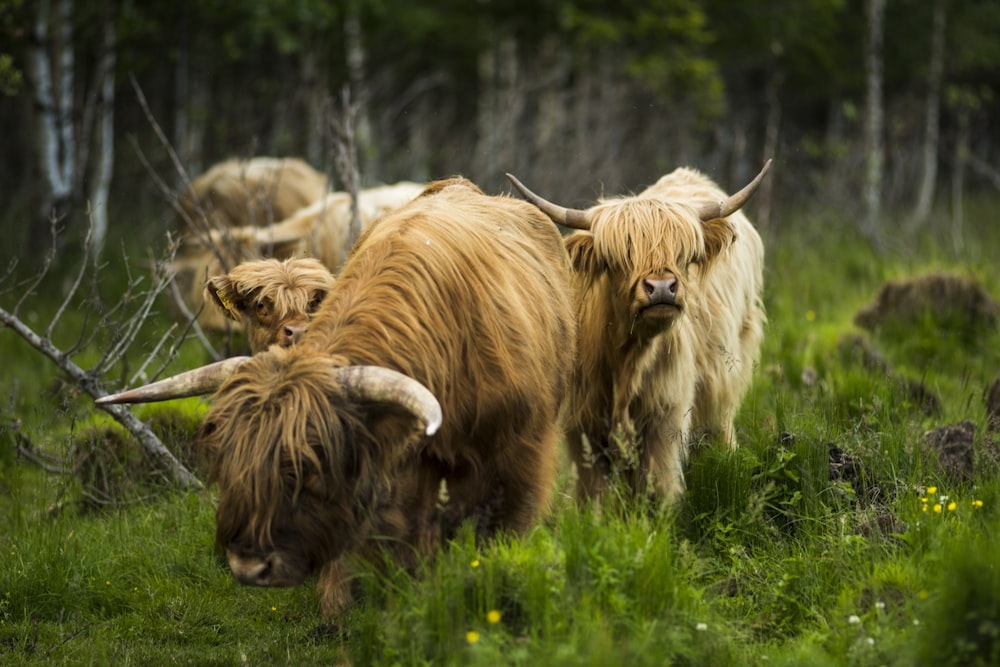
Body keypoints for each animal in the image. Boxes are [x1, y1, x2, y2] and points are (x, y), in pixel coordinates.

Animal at [508, 162, 772, 504]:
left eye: (683, 254)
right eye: (622, 255)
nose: (661, 288)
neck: (626, 359)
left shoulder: (666, 416)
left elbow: (657, 485)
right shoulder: (583, 423)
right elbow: (595, 493)